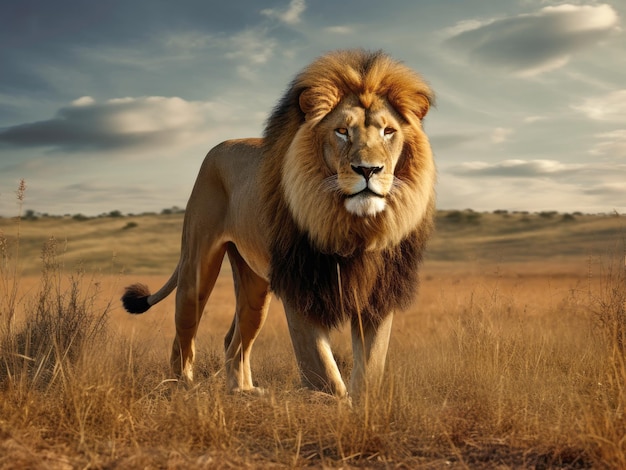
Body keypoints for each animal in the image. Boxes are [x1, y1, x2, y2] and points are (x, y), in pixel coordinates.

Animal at [120, 48, 434, 400]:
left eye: (388, 131)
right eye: (342, 131)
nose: (369, 170)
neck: (352, 226)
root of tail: (218, 147)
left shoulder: (379, 293)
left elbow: (371, 370)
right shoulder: (301, 288)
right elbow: (323, 370)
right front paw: (332, 402)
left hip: (254, 284)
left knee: (235, 340)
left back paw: (244, 392)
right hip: (196, 268)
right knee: (184, 331)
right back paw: (182, 387)